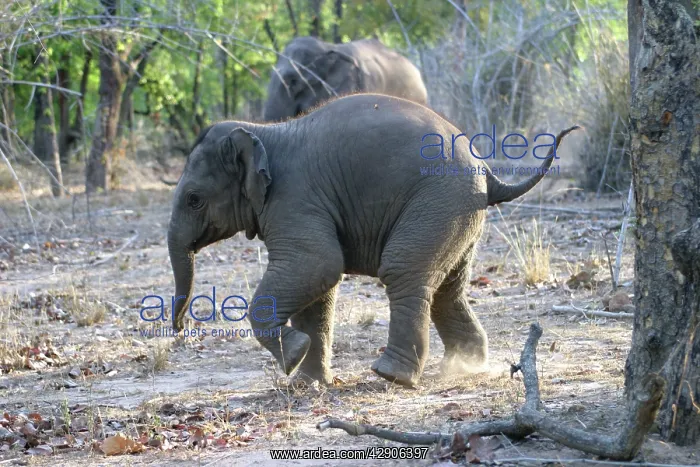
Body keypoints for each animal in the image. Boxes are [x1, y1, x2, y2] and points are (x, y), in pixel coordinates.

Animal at [167, 93, 578, 388]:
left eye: (193, 199)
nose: (179, 332)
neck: (263, 132)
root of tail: (489, 172)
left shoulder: (295, 199)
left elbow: (318, 264)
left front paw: (293, 357)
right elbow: (320, 284)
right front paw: (304, 382)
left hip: (438, 203)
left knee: (403, 271)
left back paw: (391, 375)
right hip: (460, 213)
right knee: (447, 288)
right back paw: (463, 368)